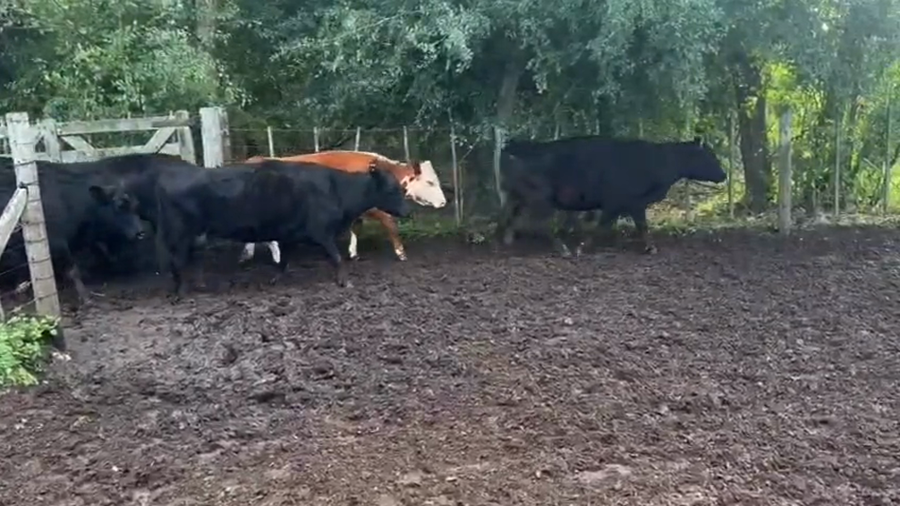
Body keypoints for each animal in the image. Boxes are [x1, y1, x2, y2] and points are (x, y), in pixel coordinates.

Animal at [0, 161, 145, 305]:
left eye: (136, 205)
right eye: (119, 205)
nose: (140, 232)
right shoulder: (57, 244)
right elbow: (73, 271)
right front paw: (86, 298)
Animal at [153, 159, 411, 298]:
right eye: (392, 189)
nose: (408, 211)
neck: (336, 188)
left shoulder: (290, 235)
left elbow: (284, 260)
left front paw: (275, 279)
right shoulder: (321, 232)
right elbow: (337, 258)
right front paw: (344, 282)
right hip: (179, 232)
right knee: (177, 261)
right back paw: (180, 291)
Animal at [240, 150, 446, 264]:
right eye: (430, 182)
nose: (443, 202)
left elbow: (356, 228)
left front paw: (353, 253)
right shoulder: (374, 207)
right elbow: (390, 224)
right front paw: (401, 253)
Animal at [496, 136, 727, 256]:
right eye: (710, 155)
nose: (724, 175)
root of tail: (512, 146)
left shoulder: (629, 204)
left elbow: (630, 226)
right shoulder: (624, 202)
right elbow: (613, 225)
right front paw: (582, 247)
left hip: (520, 196)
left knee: (510, 217)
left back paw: (505, 242)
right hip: (540, 197)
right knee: (541, 224)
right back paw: (562, 248)